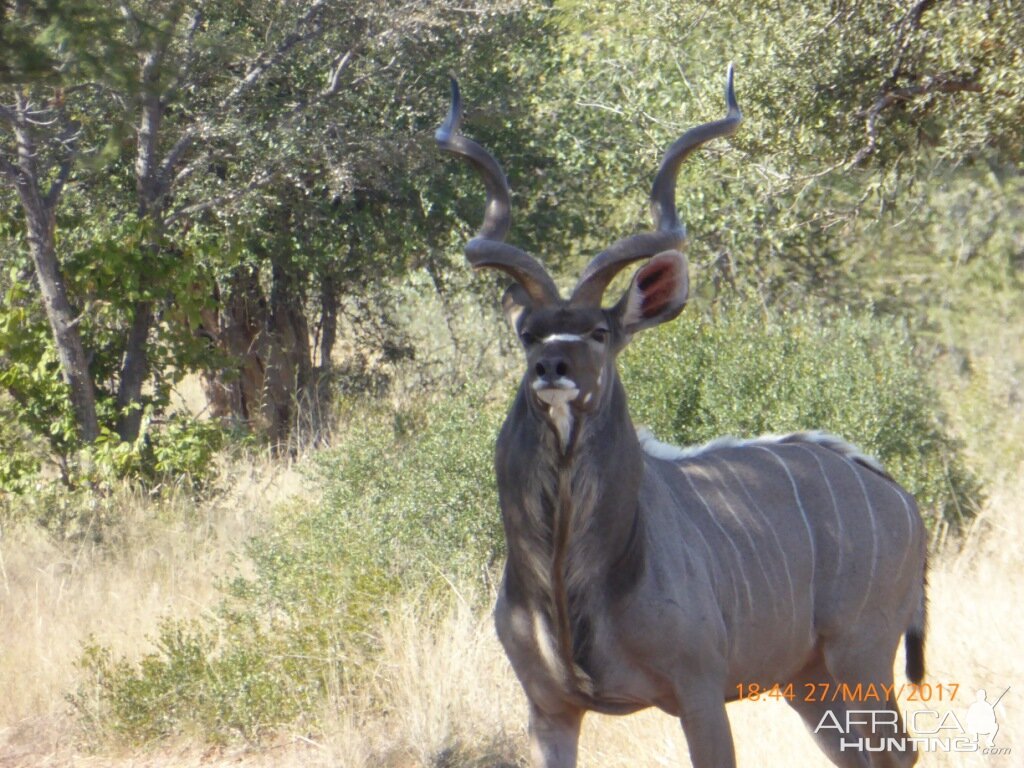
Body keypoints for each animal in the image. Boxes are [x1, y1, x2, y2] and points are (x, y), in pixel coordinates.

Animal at [436, 67, 933, 768]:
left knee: (897, 751)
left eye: (599, 332)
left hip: (860, 656)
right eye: (528, 334)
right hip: (805, 680)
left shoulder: (700, 693)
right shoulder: (549, 709)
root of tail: (903, 499)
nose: (552, 368)